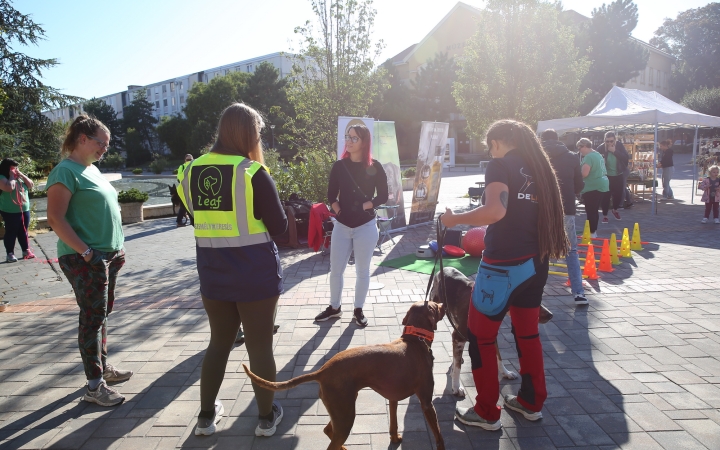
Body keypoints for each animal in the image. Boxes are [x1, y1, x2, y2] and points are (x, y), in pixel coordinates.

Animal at [245, 302, 448, 450]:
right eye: (435, 305)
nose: (444, 303)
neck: (415, 340)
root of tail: (322, 371)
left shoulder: (392, 399)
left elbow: (394, 424)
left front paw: (395, 438)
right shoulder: (426, 402)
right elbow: (439, 435)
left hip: (341, 411)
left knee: (328, 430)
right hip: (346, 414)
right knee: (331, 442)